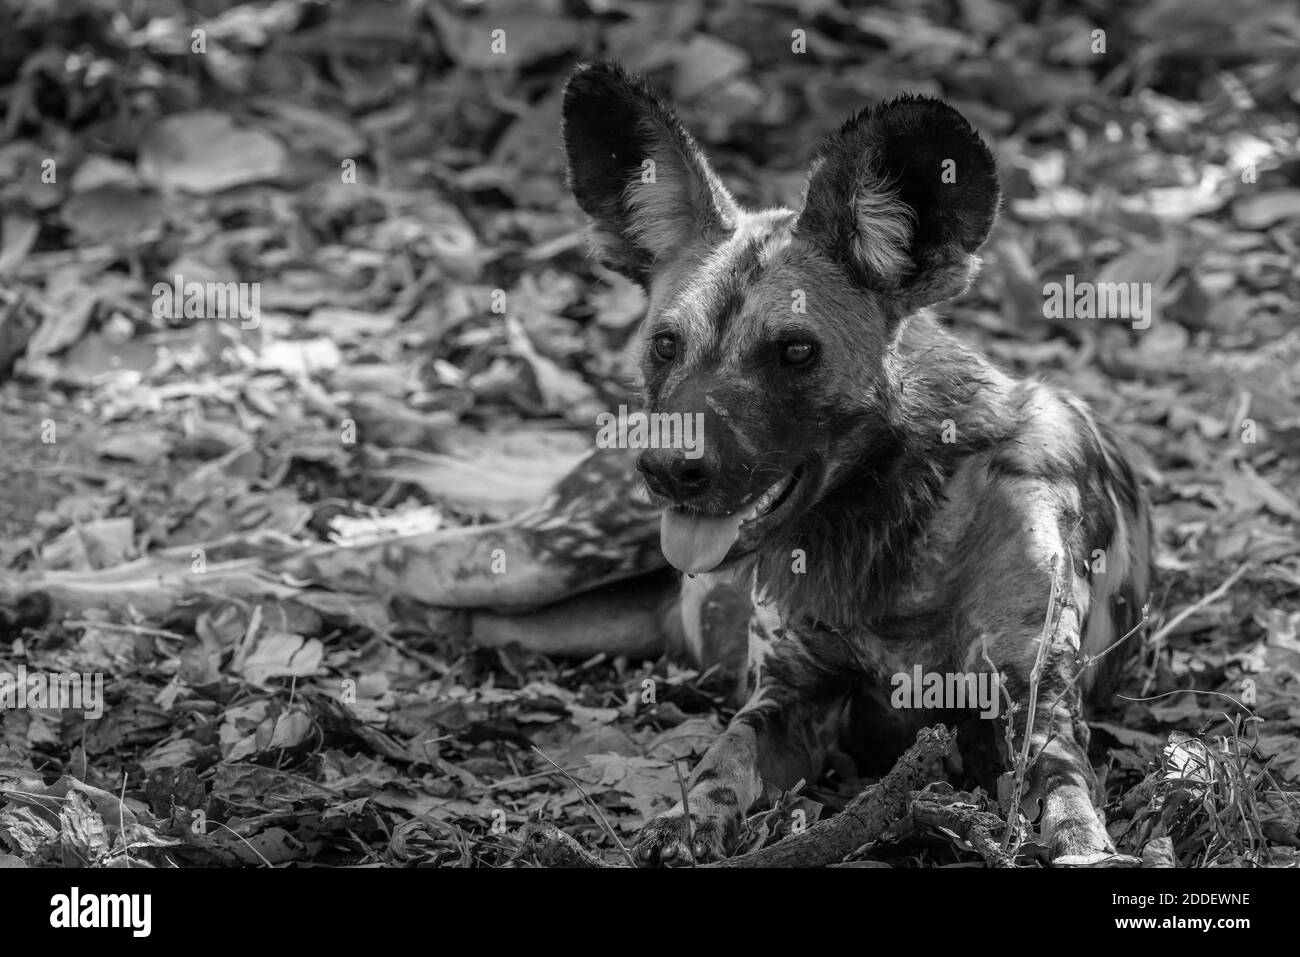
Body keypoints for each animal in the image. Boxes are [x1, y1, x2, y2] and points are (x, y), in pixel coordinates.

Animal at [559, 61, 1149, 868]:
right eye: (666, 345)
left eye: (796, 351)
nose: (668, 468)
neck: (897, 520)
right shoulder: (789, 700)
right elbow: (720, 761)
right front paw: (681, 823)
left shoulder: (1035, 704)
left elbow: (1067, 798)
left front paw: (1088, 846)